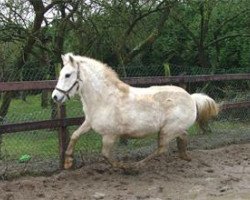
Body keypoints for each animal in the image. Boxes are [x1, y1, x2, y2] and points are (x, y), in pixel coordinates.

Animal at [52, 52, 219, 169]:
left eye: (67, 75)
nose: (55, 97)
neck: (103, 99)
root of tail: (191, 98)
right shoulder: (89, 123)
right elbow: (75, 135)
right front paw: (67, 162)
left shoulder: (110, 135)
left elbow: (105, 155)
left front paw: (124, 167)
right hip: (173, 129)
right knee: (182, 137)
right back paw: (185, 156)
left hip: (167, 130)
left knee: (162, 149)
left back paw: (137, 166)